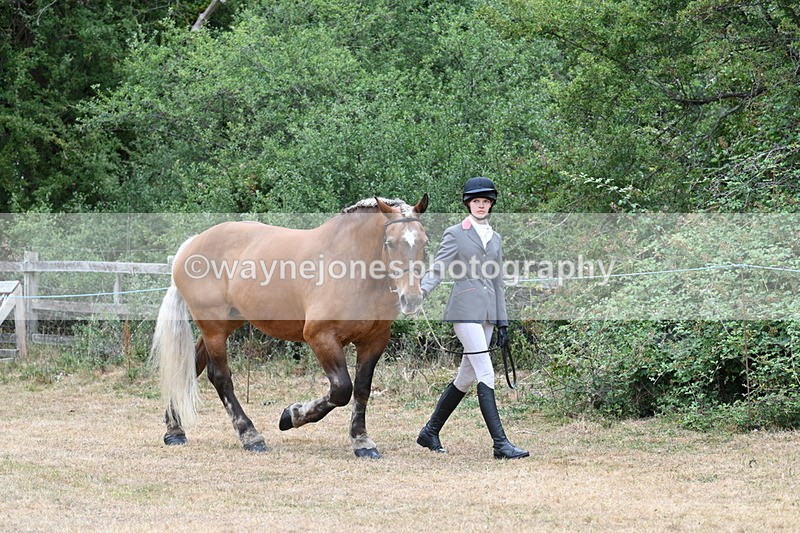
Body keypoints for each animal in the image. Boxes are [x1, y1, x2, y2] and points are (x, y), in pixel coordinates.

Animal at [151, 195, 429, 458]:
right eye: (390, 243)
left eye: (424, 242)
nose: (412, 298)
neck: (352, 267)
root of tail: (191, 245)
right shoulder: (320, 337)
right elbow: (341, 390)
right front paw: (291, 415)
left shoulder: (374, 341)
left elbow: (361, 390)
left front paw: (362, 441)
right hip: (213, 326)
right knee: (219, 377)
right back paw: (250, 436)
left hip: (226, 323)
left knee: (191, 366)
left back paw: (174, 430)